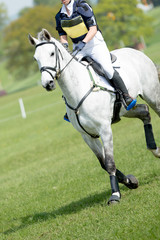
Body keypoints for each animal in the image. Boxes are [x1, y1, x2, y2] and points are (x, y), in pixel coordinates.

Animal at [28, 28, 160, 204]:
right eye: (36, 58)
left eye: (51, 53)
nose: (47, 84)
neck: (77, 90)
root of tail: (136, 51)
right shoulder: (87, 136)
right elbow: (104, 163)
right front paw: (130, 181)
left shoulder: (105, 130)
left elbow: (110, 163)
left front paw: (115, 195)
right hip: (127, 110)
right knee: (144, 112)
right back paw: (155, 150)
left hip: (152, 96)